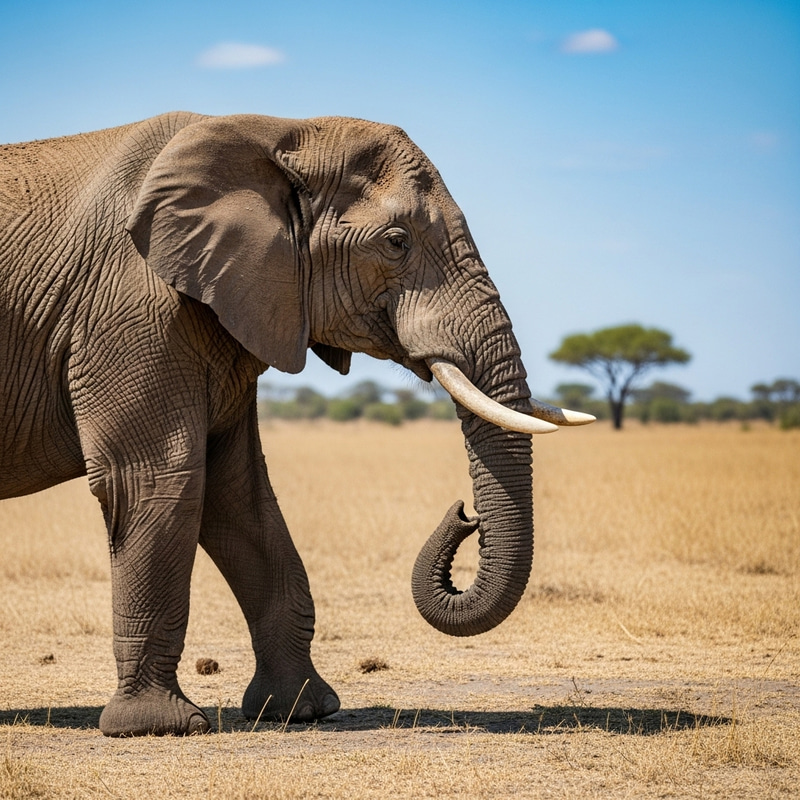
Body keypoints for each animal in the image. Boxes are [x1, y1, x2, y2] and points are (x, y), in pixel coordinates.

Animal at [0, 112, 593, 737]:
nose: (464, 513)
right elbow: (158, 482)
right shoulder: (130, 308)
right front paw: (159, 727)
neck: (280, 130)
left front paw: (302, 710)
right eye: (397, 242)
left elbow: (238, 496)